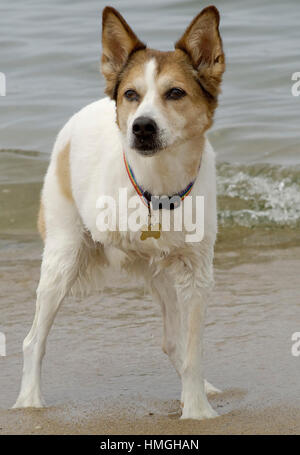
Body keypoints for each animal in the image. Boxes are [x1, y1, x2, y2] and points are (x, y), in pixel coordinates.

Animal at [14, 4, 225, 420]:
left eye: (175, 93)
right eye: (131, 94)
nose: (141, 126)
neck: (157, 190)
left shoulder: (194, 270)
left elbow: (192, 349)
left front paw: (196, 408)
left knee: (173, 341)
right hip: (62, 256)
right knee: (34, 340)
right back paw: (29, 402)